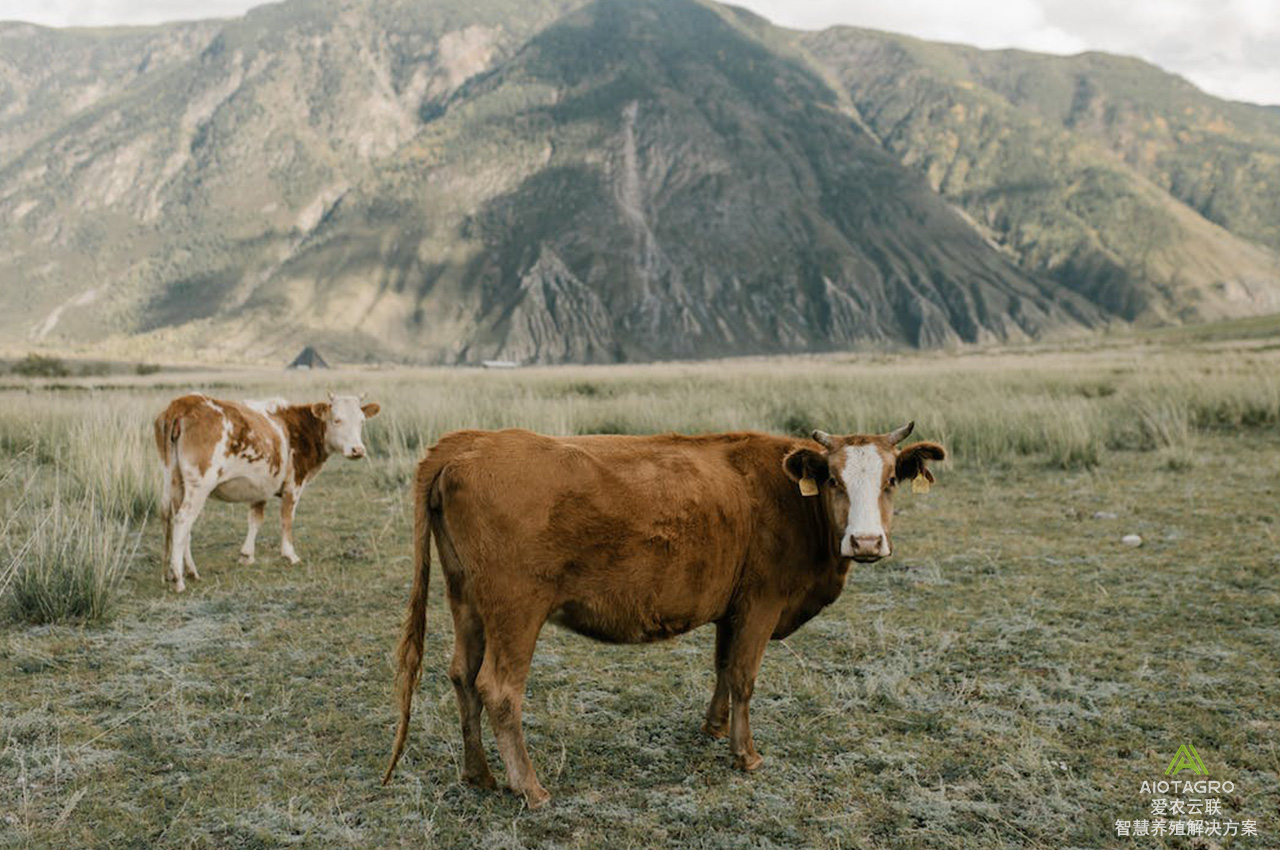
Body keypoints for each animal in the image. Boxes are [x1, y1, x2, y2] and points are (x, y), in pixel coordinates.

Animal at [151, 391, 376, 591]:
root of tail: (183, 403)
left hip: (175, 481)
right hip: (200, 485)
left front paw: (247, 555)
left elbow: (255, 519)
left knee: (176, 521)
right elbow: (287, 518)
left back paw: (185, 572)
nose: (358, 450)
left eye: (362, 421)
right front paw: (289, 554)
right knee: (183, 520)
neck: (299, 427)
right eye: (337, 420)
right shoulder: (294, 484)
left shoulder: (259, 486)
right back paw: (179, 578)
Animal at [384, 422, 947, 803]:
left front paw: (714, 729)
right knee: (498, 689)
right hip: (516, 610)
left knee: (462, 676)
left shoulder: (732, 606)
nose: (867, 541)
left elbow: (723, 668)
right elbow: (744, 676)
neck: (789, 500)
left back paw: (478, 775)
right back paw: (532, 789)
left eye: (892, 478)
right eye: (832, 479)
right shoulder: (762, 601)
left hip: (466, 602)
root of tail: (473, 440)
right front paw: (746, 755)